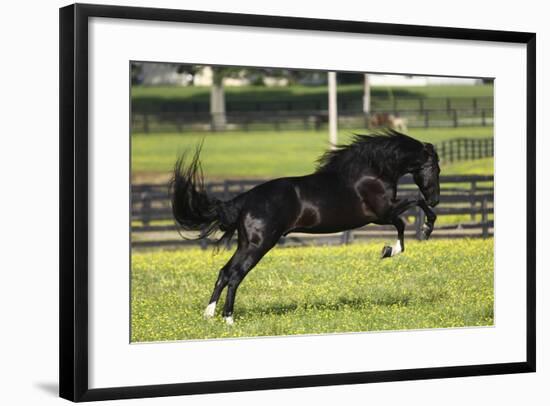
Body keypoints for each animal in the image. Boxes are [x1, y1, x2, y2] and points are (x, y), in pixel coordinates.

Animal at [170, 130, 442, 324]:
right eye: (435, 168)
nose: (435, 199)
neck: (370, 172)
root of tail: (245, 200)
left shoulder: (383, 215)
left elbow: (404, 220)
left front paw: (390, 249)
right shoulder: (382, 213)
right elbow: (409, 213)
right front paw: (411, 238)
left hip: (246, 244)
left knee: (224, 272)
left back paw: (209, 315)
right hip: (259, 245)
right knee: (235, 275)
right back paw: (229, 320)